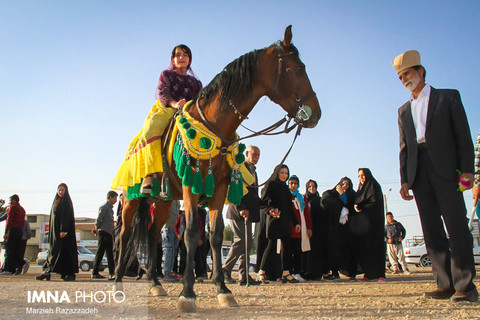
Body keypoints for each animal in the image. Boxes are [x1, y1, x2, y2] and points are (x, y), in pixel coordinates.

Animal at [114, 25, 320, 312]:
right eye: (299, 68)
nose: (316, 114)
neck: (214, 125)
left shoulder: (219, 189)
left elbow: (215, 235)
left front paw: (223, 290)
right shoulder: (190, 186)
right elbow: (191, 234)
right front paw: (187, 293)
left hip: (164, 200)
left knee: (154, 235)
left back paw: (155, 284)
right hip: (131, 200)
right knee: (124, 235)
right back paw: (118, 283)